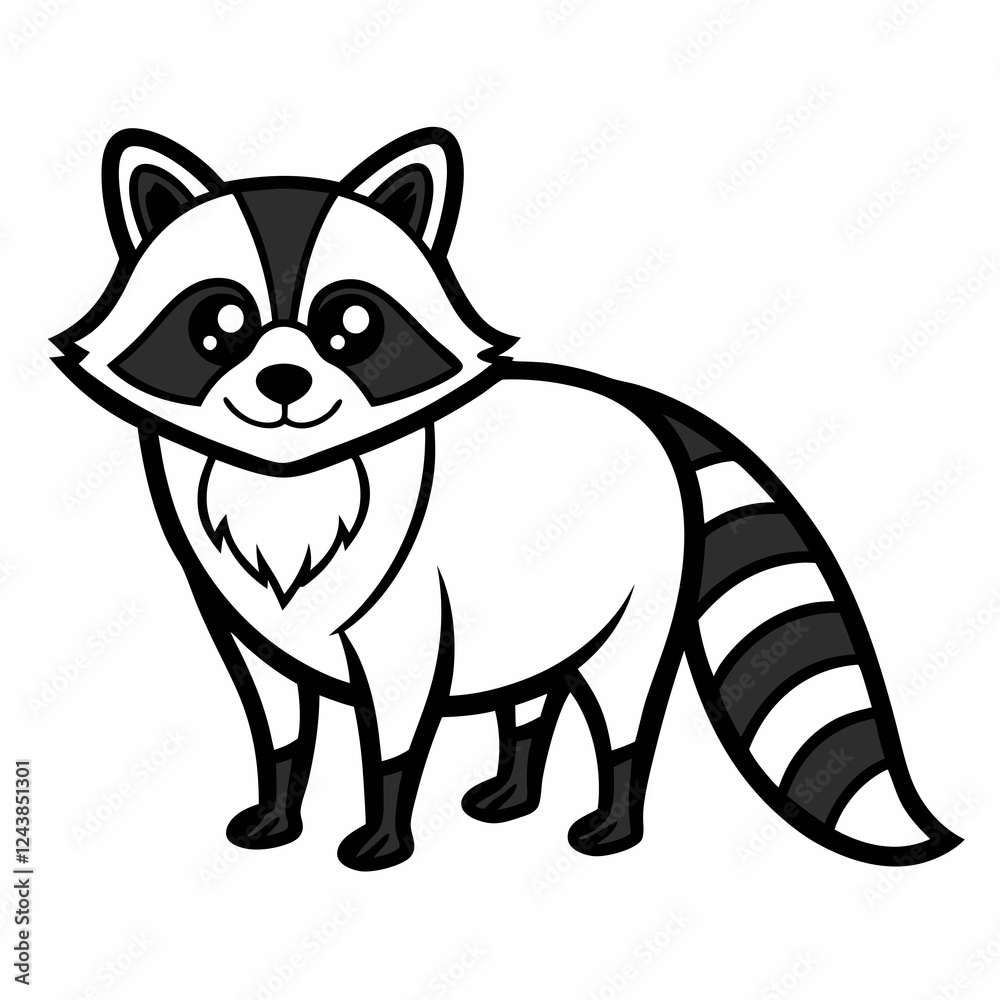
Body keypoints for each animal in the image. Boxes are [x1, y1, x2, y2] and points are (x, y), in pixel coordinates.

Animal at [52, 127, 960, 871]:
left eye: (350, 326)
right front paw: (277, 813)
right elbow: (277, 730)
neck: (288, 482)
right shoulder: (244, 629)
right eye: (220, 326)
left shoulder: (405, 622)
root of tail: (640, 402)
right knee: (531, 694)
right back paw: (511, 789)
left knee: (622, 716)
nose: (283, 380)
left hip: (635, 601)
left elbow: (391, 742)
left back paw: (612, 821)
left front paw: (382, 835)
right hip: (538, 601)